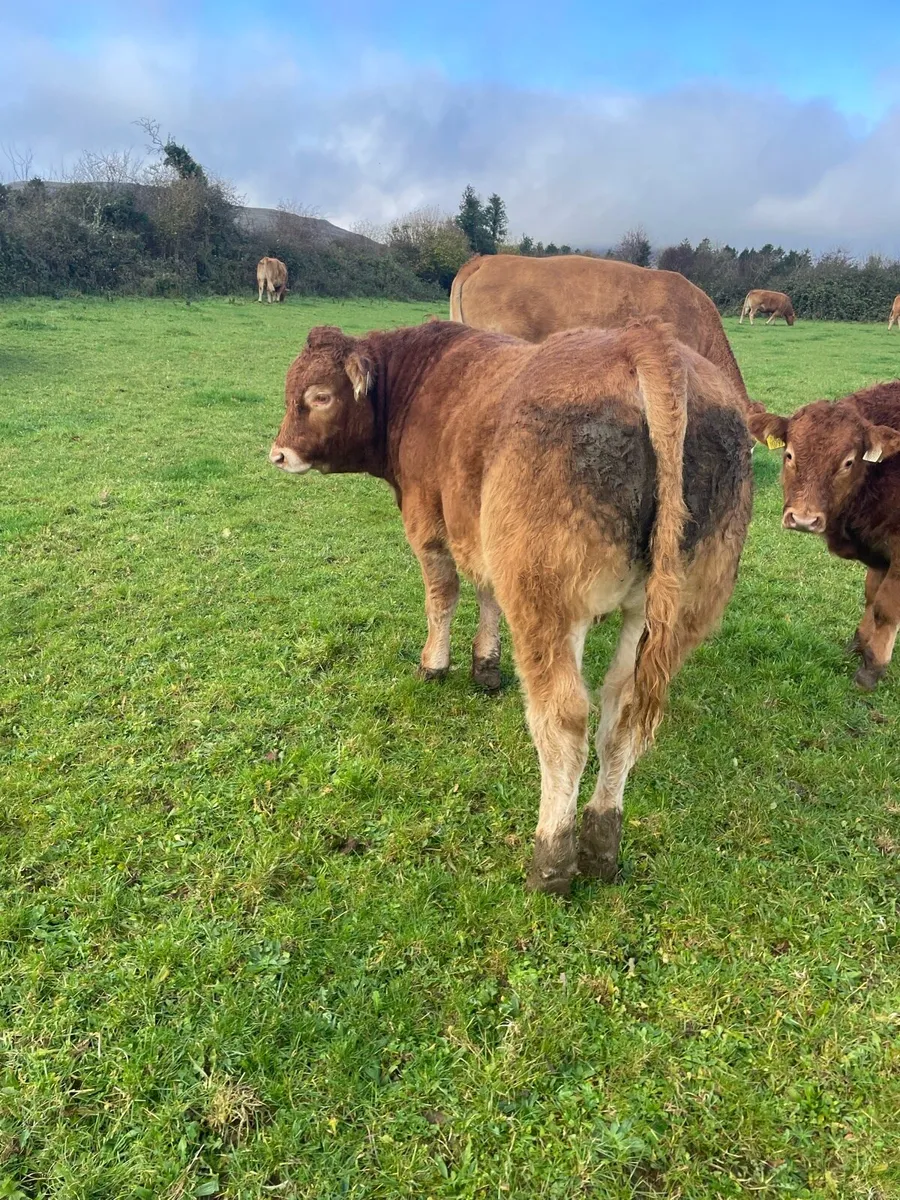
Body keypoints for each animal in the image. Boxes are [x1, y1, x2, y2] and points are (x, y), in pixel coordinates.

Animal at [269, 318, 752, 893]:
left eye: (319, 396)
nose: (277, 454)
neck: (424, 379)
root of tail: (644, 343)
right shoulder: (481, 535)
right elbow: (486, 596)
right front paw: (486, 664)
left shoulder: (429, 523)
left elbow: (443, 595)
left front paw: (435, 665)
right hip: (668, 613)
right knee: (623, 717)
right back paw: (601, 846)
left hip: (549, 600)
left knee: (564, 722)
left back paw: (552, 859)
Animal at [749, 382, 900, 690]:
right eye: (789, 455)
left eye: (848, 462)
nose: (804, 519)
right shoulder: (878, 550)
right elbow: (871, 596)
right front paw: (859, 645)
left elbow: (886, 608)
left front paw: (872, 668)